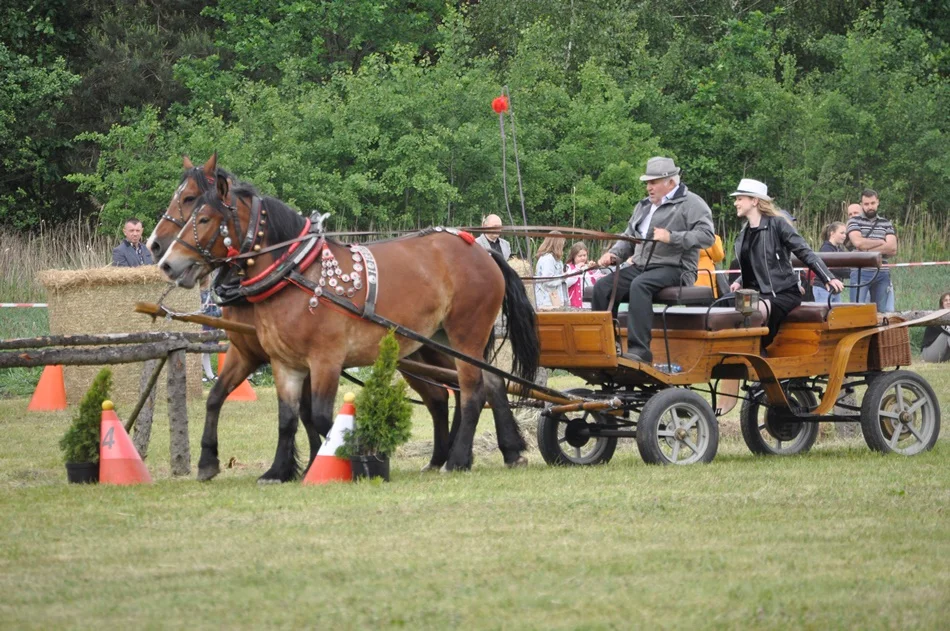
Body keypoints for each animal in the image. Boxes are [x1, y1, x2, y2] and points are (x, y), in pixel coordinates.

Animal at [149, 156, 536, 476]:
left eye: (199, 212)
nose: (163, 257)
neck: (296, 273)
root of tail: (482, 252)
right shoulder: (281, 361)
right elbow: (285, 416)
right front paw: (277, 470)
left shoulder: (325, 359)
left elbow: (321, 416)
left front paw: (360, 456)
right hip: (438, 343)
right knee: (481, 386)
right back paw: (499, 452)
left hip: (464, 334)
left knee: (471, 392)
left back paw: (456, 460)